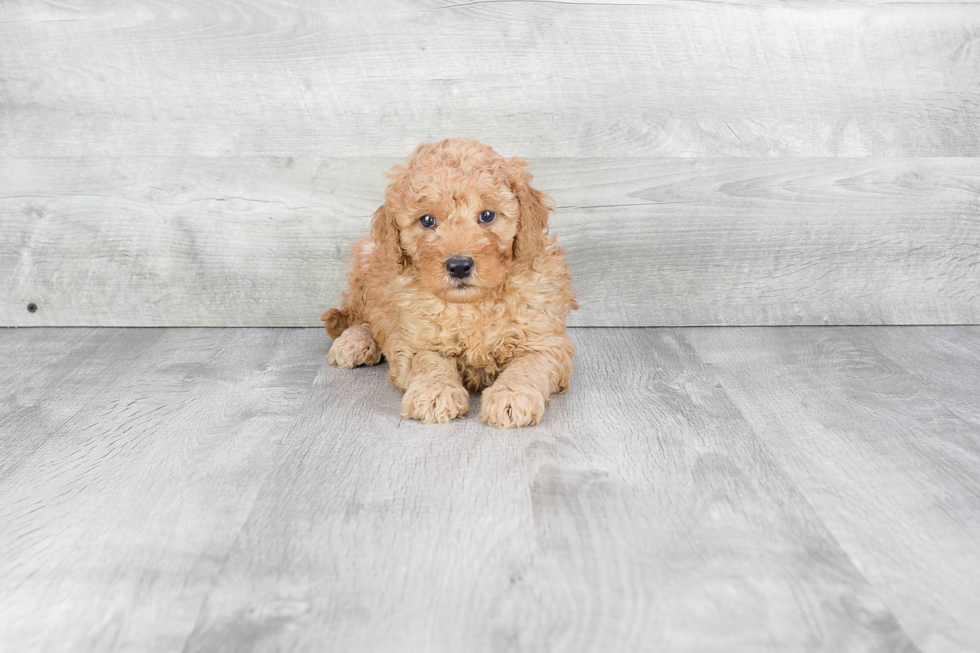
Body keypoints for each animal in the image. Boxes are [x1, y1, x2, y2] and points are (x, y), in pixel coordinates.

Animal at [322, 138, 580, 428]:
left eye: (487, 215)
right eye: (427, 220)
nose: (459, 266)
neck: (472, 304)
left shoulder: (544, 339)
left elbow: (528, 366)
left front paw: (512, 396)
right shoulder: (417, 339)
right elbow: (429, 362)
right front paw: (435, 392)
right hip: (368, 262)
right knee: (361, 318)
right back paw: (354, 343)